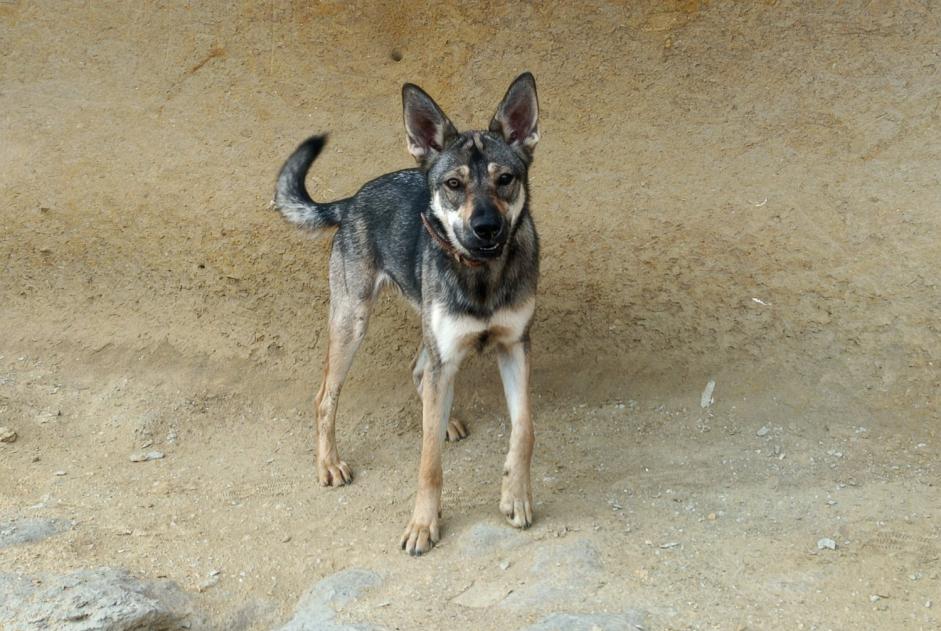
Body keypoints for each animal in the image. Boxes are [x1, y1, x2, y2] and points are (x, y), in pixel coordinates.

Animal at [272, 75, 540, 556]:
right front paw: (423, 524)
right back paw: (330, 463)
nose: (486, 228)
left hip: (427, 328)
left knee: (419, 371)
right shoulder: (446, 352)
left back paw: (445, 418)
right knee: (326, 397)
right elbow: (429, 461)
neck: (481, 275)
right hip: (352, 322)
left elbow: (523, 428)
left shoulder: (515, 346)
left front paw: (516, 496)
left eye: (505, 179)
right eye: (453, 184)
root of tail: (352, 199)